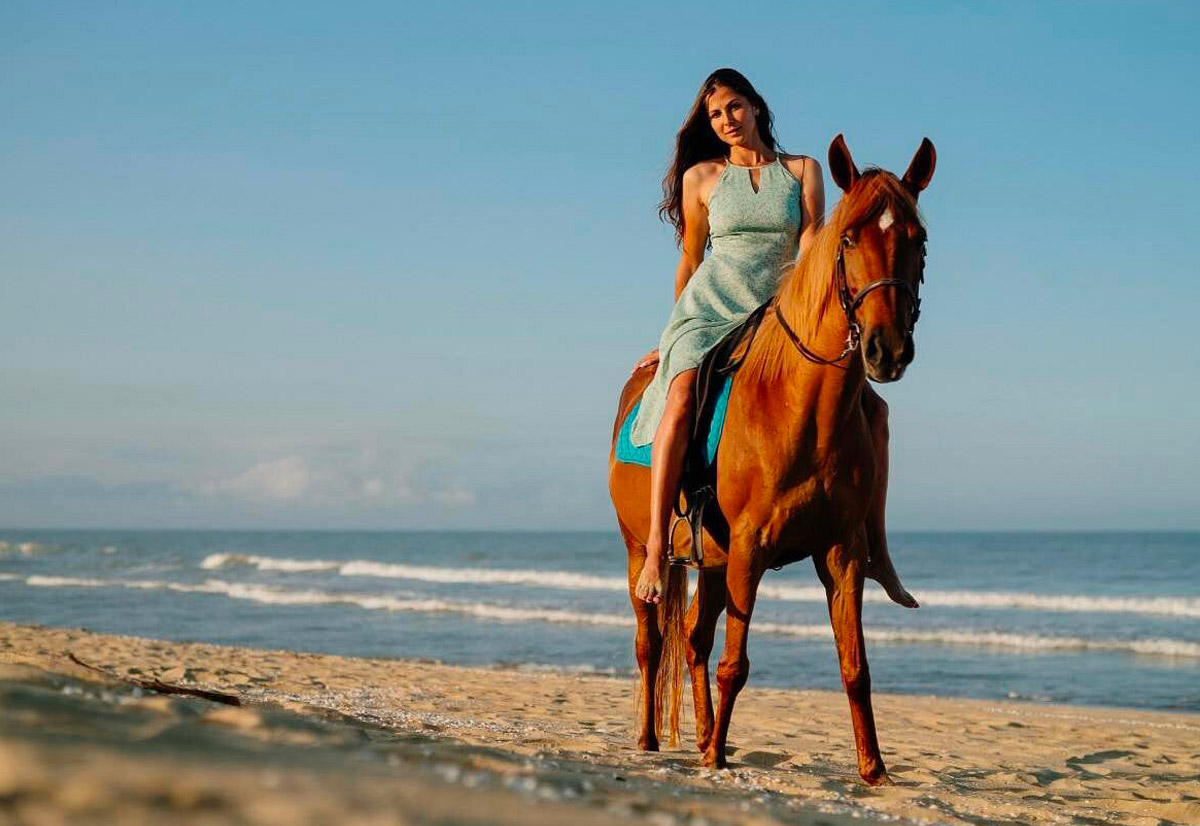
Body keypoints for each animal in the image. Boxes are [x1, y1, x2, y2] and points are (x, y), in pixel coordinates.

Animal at [608, 134, 936, 785]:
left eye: (919, 238)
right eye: (850, 238)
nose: (887, 349)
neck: (797, 405)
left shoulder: (841, 554)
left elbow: (855, 667)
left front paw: (874, 771)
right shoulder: (752, 548)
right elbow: (736, 663)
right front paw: (713, 759)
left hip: (712, 563)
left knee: (693, 639)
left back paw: (706, 737)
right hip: (641, 552)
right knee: (652, 641)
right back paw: (652, 740)